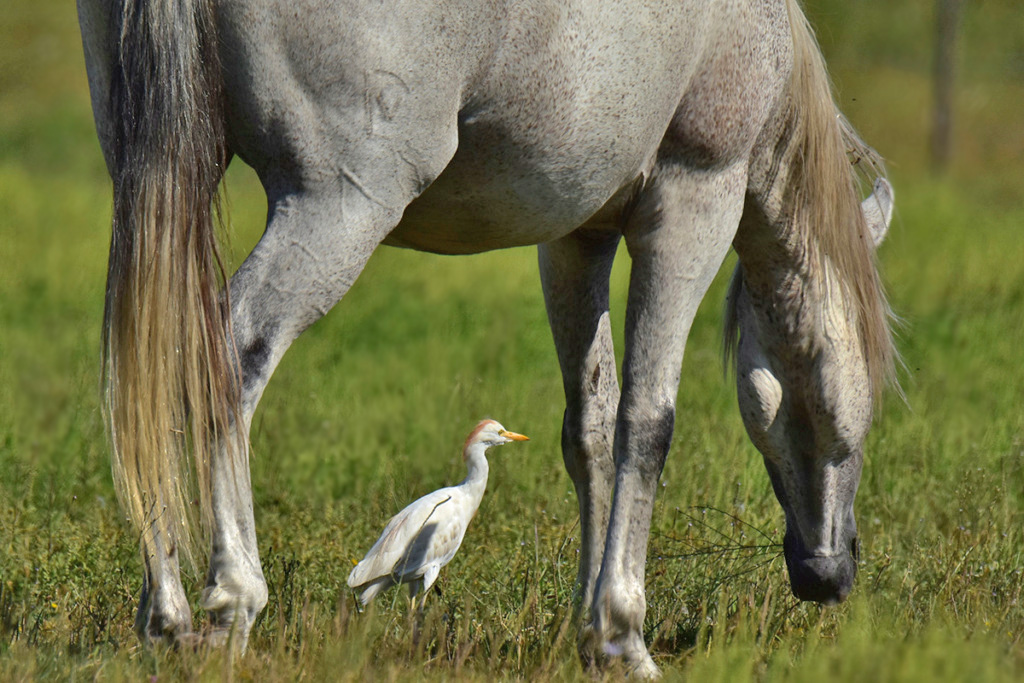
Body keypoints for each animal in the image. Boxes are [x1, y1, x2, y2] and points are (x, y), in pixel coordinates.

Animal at [79, 0, 897, 675]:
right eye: (845, 391)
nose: (831, 573)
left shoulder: (577, 237)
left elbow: (590, 427)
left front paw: (588, 633)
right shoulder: (694, 200)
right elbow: (648, 424)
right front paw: (623, 634)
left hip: (150, 178)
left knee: (149, 380)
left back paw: (167, 617)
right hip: (336, 206)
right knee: (227, 358)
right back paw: (233, 600)